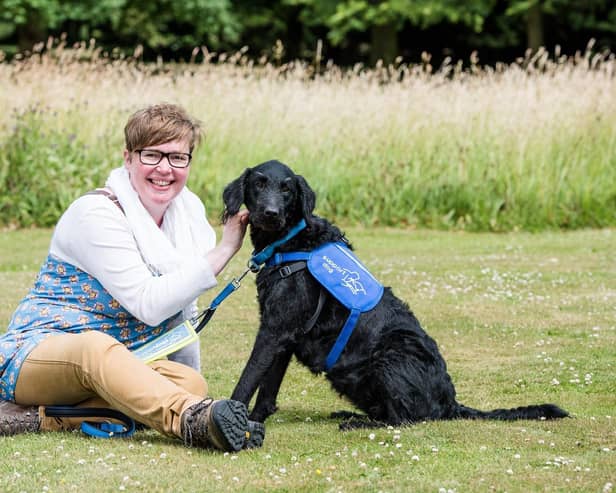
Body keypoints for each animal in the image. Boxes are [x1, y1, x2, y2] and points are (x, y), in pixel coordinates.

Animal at [223, 160, 568, 426]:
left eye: (287, 189)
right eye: (259, 184)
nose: (270, 213)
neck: (291, 242)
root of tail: (450, 402)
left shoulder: (273, 332)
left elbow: (247, 380)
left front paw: (230, 416)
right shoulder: (282, 335)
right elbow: (267, 390)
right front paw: (254, 420)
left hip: (389, 357)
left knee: (403, 419)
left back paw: (356, 423)